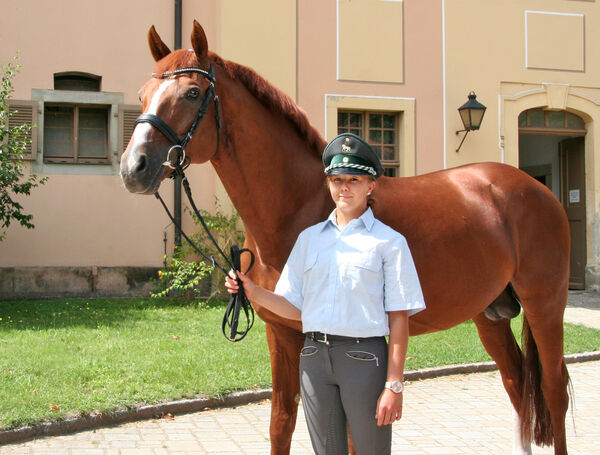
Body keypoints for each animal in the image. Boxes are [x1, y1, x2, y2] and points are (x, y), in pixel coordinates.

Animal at [120, 20, 572, 455]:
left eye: (193, 92)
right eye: (143, 94)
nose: (133, 167)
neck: (303, 205)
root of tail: (534, 188)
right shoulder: (281, 333)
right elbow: (282, 422)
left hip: (545, 304)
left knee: (552, 390)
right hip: (489, 313)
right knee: (517, 383)